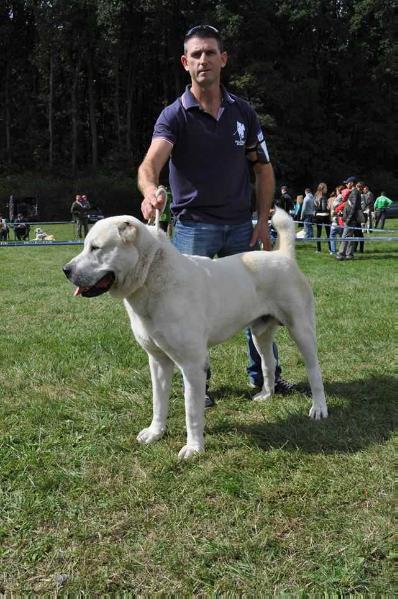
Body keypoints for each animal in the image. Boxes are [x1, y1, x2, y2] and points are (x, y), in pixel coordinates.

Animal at [63, 209, 328, 458]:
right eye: (86, 245)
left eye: (96, 248)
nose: (65, 270)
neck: (152, 276)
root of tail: (282, 255)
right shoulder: (158, 361)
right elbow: (158, 402)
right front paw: (155, 433)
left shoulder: (191, 365)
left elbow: (191, 411)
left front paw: (194, 448)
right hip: (258, 334)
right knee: (268, 363)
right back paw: (266, 394)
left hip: (301, 330)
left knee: (314, 371)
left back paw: (319, 408)